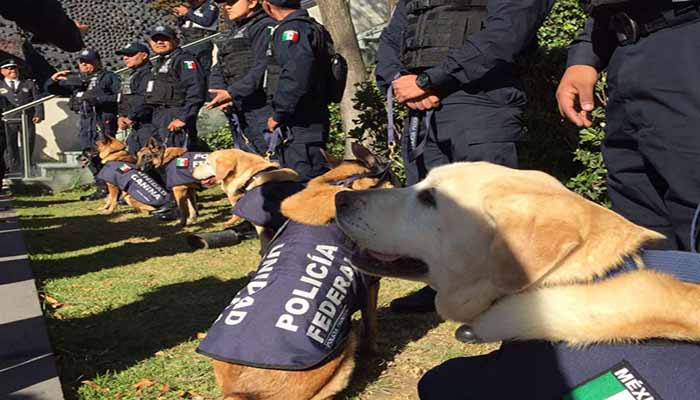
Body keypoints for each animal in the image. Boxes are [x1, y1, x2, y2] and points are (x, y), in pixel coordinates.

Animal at [197, 144, 394, 400]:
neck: (336, 185)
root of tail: (239, 392)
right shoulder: (370, 285)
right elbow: (372, 328)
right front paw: (375, 351)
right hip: (345, 350)